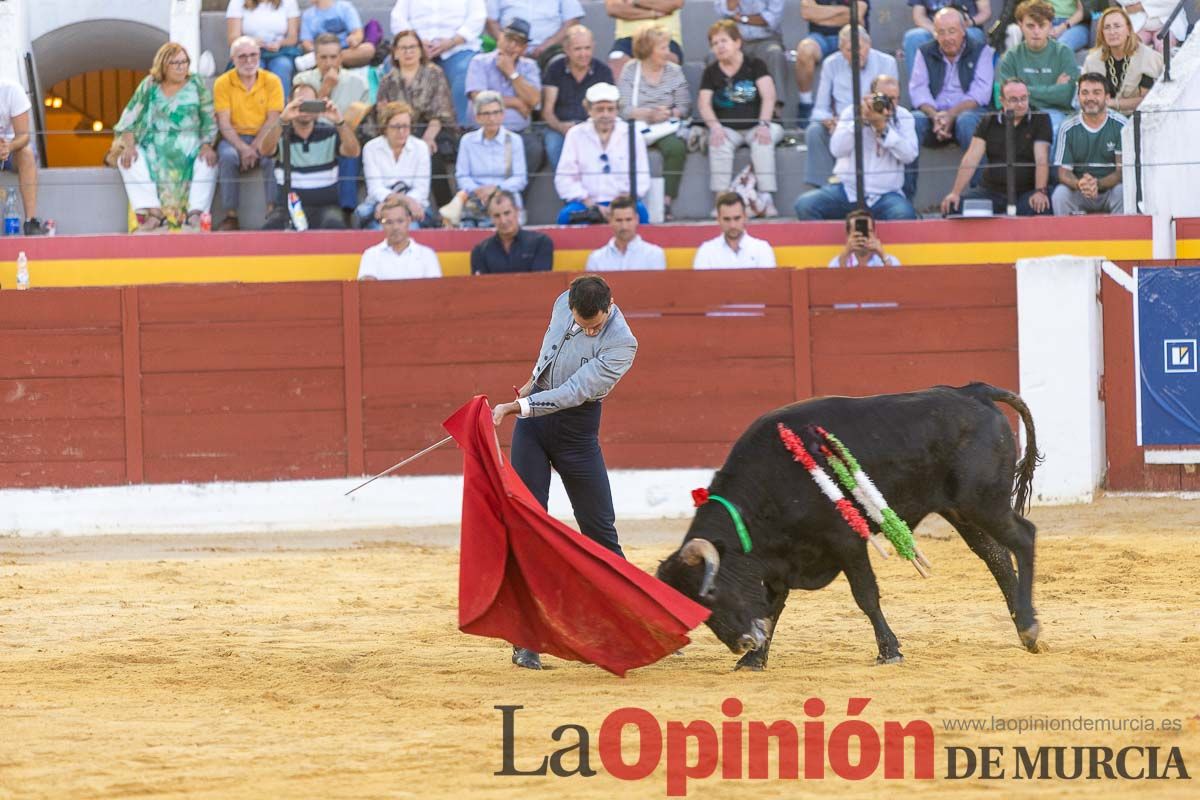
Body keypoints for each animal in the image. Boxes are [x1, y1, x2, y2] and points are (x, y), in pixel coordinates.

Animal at [657, 383, 1041, 671]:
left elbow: (865, 596)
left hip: (984, 501)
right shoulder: (782, 558)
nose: (742, 643)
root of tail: (972, 391)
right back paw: (1024, 629)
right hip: (961, 510)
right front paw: (754, 660)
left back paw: (1030, 626)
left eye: (710, 592)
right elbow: (774, 605)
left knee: (1023, 538)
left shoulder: (846, 541)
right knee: (996, 557)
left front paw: (889, 652)